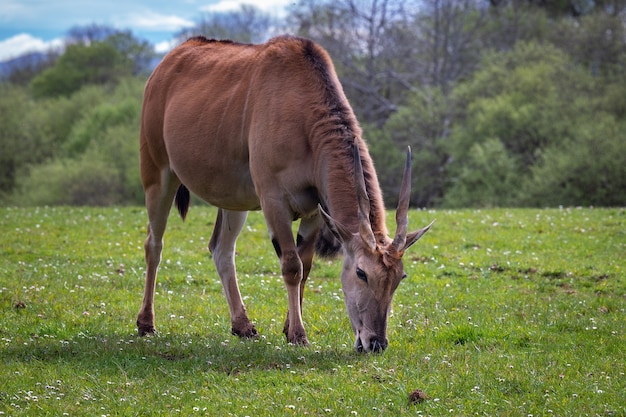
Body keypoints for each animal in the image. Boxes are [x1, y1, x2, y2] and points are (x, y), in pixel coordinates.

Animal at [135, 35, 428, 352]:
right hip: (158, 176)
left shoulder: (315, 212)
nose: (375, 343)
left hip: (233, 200)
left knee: (221, 250)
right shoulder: (273, 202)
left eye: (399, 277)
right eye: (361, 273)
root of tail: (165, 64)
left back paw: (242, 325)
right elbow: (292, 266)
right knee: (154, 244)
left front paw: (289, 329)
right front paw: (298, 334)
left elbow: (306, 266)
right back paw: (146, 323)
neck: (304, 113)